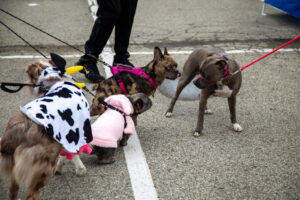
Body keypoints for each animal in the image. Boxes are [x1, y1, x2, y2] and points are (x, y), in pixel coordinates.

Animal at [0, 53, 92, 200]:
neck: (53, 80)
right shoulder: (76, 131)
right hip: (44, 166)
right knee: (31, 195)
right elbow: (72, 152)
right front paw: (79, 168)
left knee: (12, 190)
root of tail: (19, 127)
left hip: (14, 165)